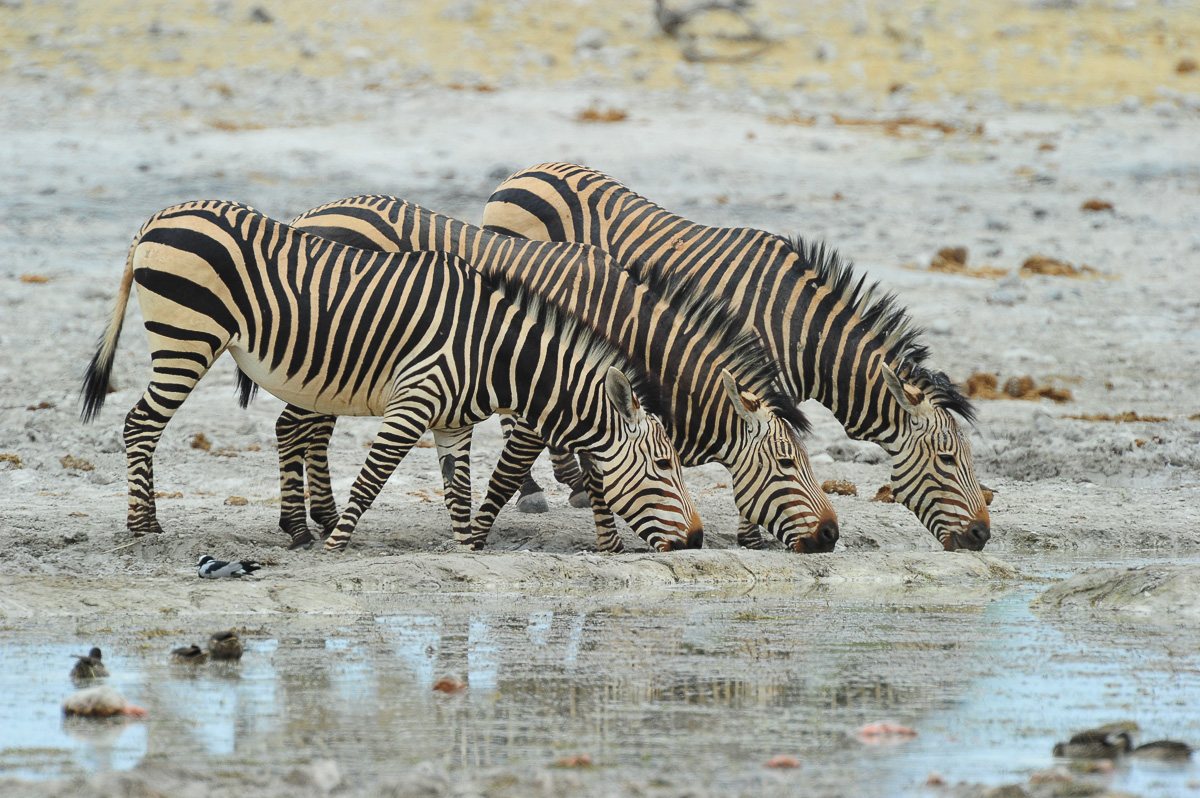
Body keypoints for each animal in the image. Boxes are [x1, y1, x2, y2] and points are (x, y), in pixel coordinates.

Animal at [79, 200, 703, 553]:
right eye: (664, 465)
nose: (696, 540)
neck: (492, 350)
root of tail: (157, 217)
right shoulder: (413, 403)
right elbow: (373, 478)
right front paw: (335, 545)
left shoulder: (452, 423)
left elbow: (459, 493)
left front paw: (465, 552)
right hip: (186, 338)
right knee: (140, 424)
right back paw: (144, 525)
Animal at [281, 195, 839, 553]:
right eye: (788, 464)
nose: (831, 536)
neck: (620, 321)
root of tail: (310, 214)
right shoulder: (549, 398)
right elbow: (509, 475)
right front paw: (478, 538)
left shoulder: (595, 395)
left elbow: (600, 471)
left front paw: (609, 543)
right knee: (298, 427)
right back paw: (307, 525)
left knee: (305, 428)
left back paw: (316, 520)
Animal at [481, 163, 991, 552]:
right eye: (949, 459)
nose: (982, 536)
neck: (797, 329)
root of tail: (530, 170)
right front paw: (752, 536)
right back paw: (535, 491)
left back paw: (570, 483)